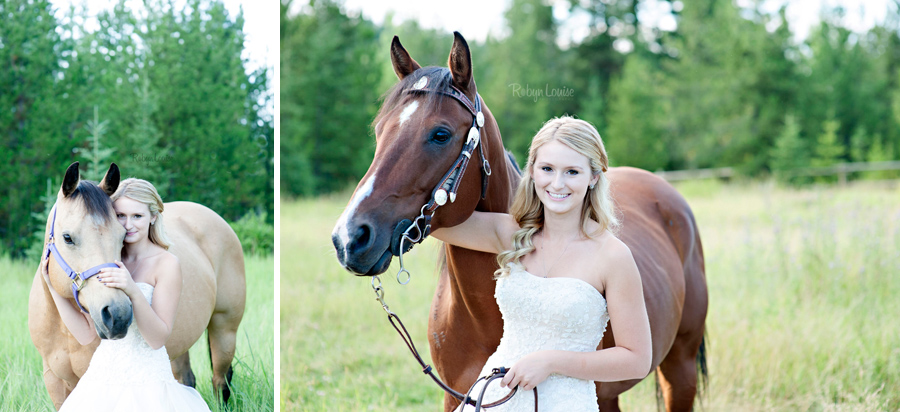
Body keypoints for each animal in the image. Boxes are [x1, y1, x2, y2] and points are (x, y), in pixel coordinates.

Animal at [28, 162, 246, 410]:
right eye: (67, 237)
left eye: (122, 235)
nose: (118, 315)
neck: (63, 330)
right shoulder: (55, 381)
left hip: (224, 328)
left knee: (221, 382)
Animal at [331, 32, 708, 412]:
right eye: (379, 131)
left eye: (440, 134)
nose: (349, 238)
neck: (481, 317)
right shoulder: (455, 398)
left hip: (680, 368)